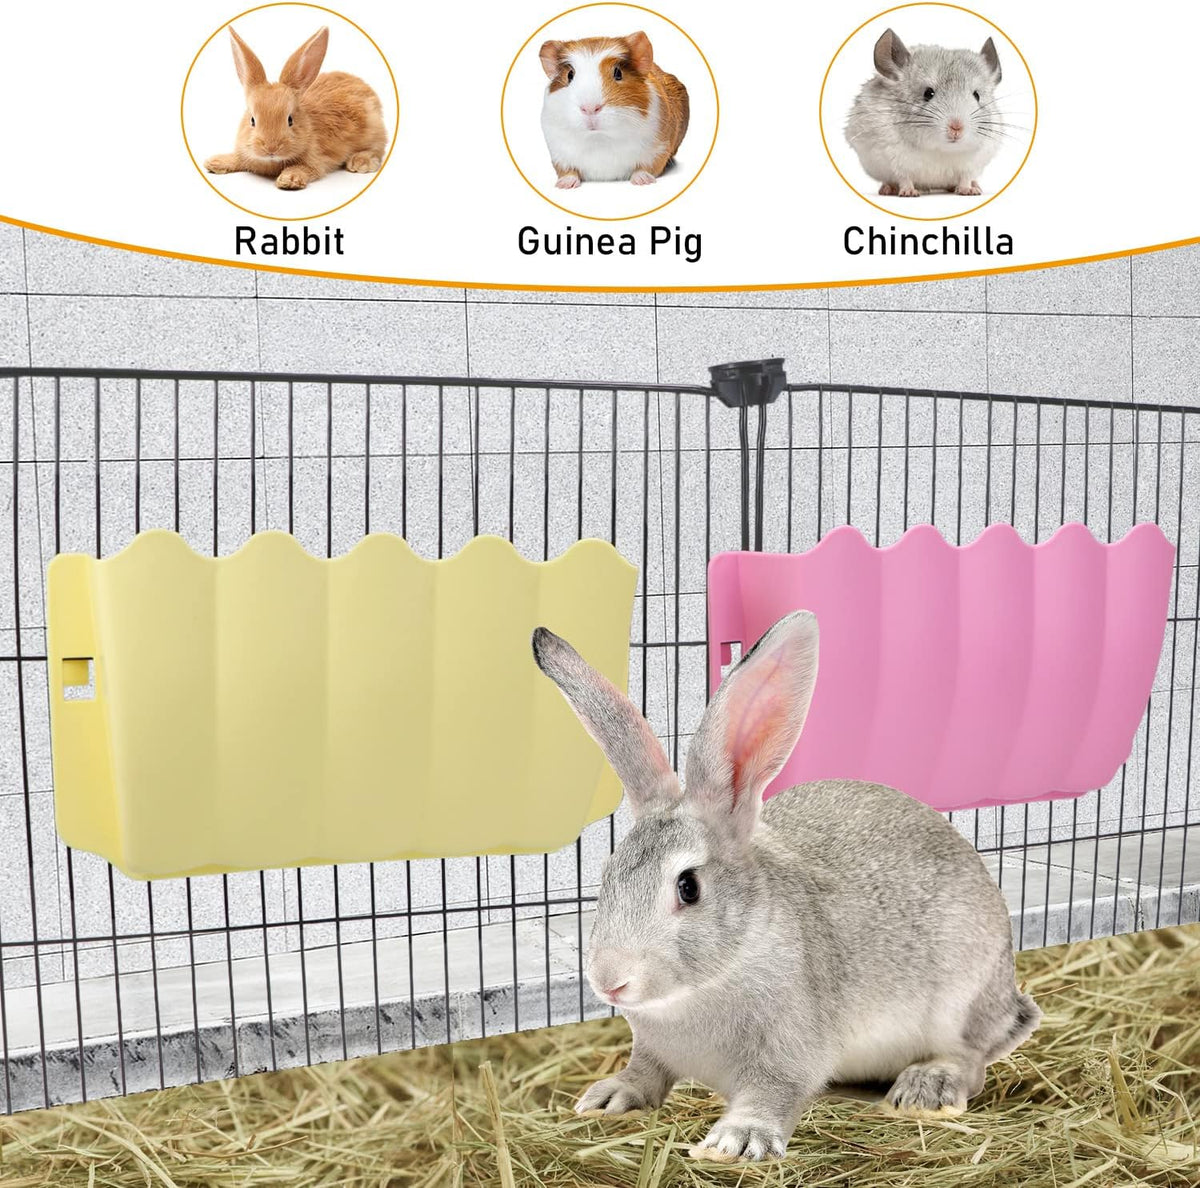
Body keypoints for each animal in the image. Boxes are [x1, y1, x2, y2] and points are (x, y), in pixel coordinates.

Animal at [204, 25, 387, 191]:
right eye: (252, 120)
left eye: (290, 120)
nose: (271, 148)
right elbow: (238, 158)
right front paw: (215, 162)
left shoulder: (315, 162)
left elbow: (305, 169)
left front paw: (289, 179)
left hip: (373, 130)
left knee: (378, 148)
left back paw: (360, 162)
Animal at [532, 610, 1040, 1163]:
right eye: (606, 875)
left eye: (688, 887)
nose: (610, 981)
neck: (710, 980)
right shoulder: (653, 1047)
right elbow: (646, 1072)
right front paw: (608, 1098)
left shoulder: (792, 1048)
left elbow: (775, 1090)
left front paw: (735, 1140)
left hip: (962, 996)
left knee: (970, 1059)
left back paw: (925, 1086)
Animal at [538, 32, 688, 187]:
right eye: (569, 75)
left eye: (618, 73)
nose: (590, 108)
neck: (599, 139)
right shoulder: (558, 155)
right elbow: (568, 171)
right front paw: (564, 185)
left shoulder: (659, 151)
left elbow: (646, 169)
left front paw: (642, 181)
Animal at [845, 28, 1004, 197]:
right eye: (928, 93)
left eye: (977, 95)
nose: (956, 128)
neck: (941, 149)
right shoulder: (895, 161)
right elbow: (904, 178)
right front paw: (908, 192)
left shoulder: (972, 164)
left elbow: (965, 177)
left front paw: (969, 190)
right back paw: (888, 189)